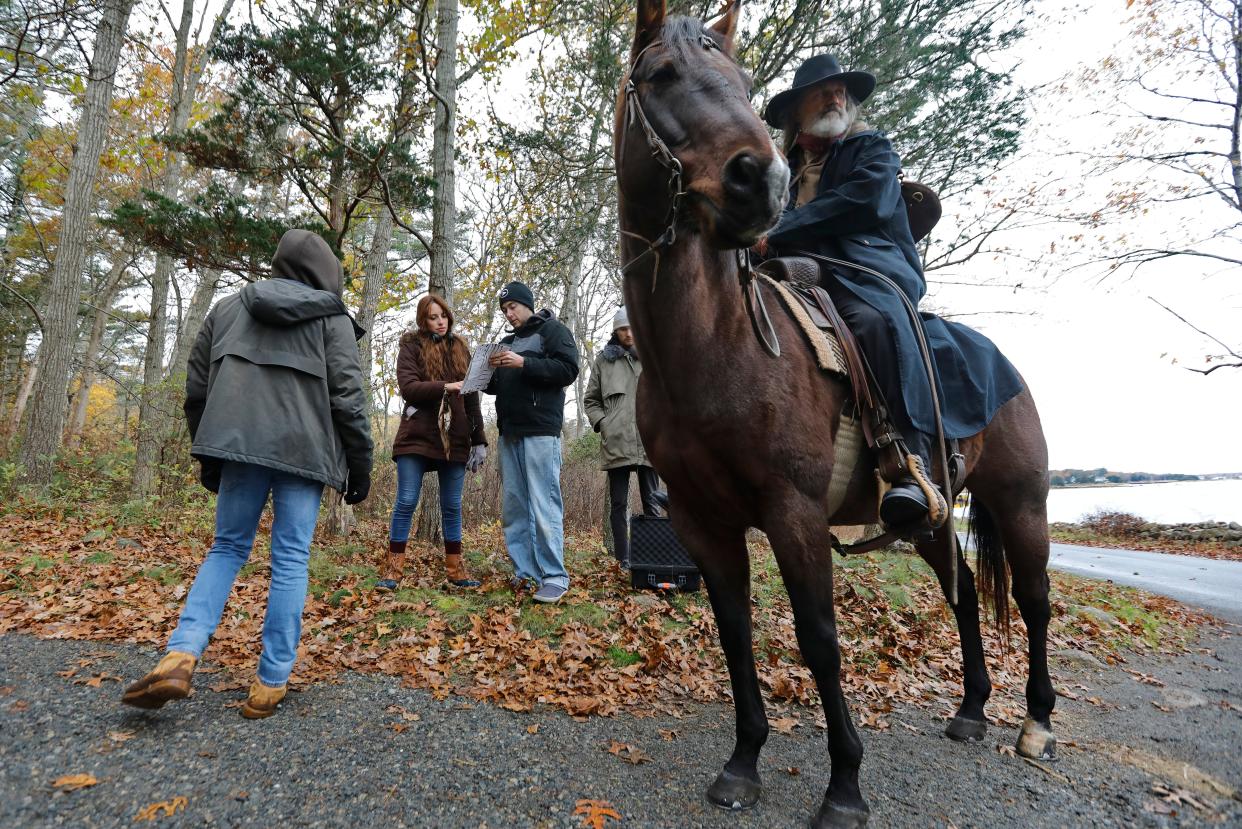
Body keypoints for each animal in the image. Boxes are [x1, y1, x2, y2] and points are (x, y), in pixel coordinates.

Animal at [616, 3, 1053, 825]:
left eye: (744, 82)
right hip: (930, 519)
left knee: (1035, 601)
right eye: (659, 74)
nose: (762, 179)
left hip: (1022, 504)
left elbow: (818, 637)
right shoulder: (700, 519)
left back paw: (1036, 724)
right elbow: (734, 632)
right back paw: (972, 710)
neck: (715, 349)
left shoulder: (794, 511)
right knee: (964, 594)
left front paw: (845, 784)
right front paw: (743, 762)